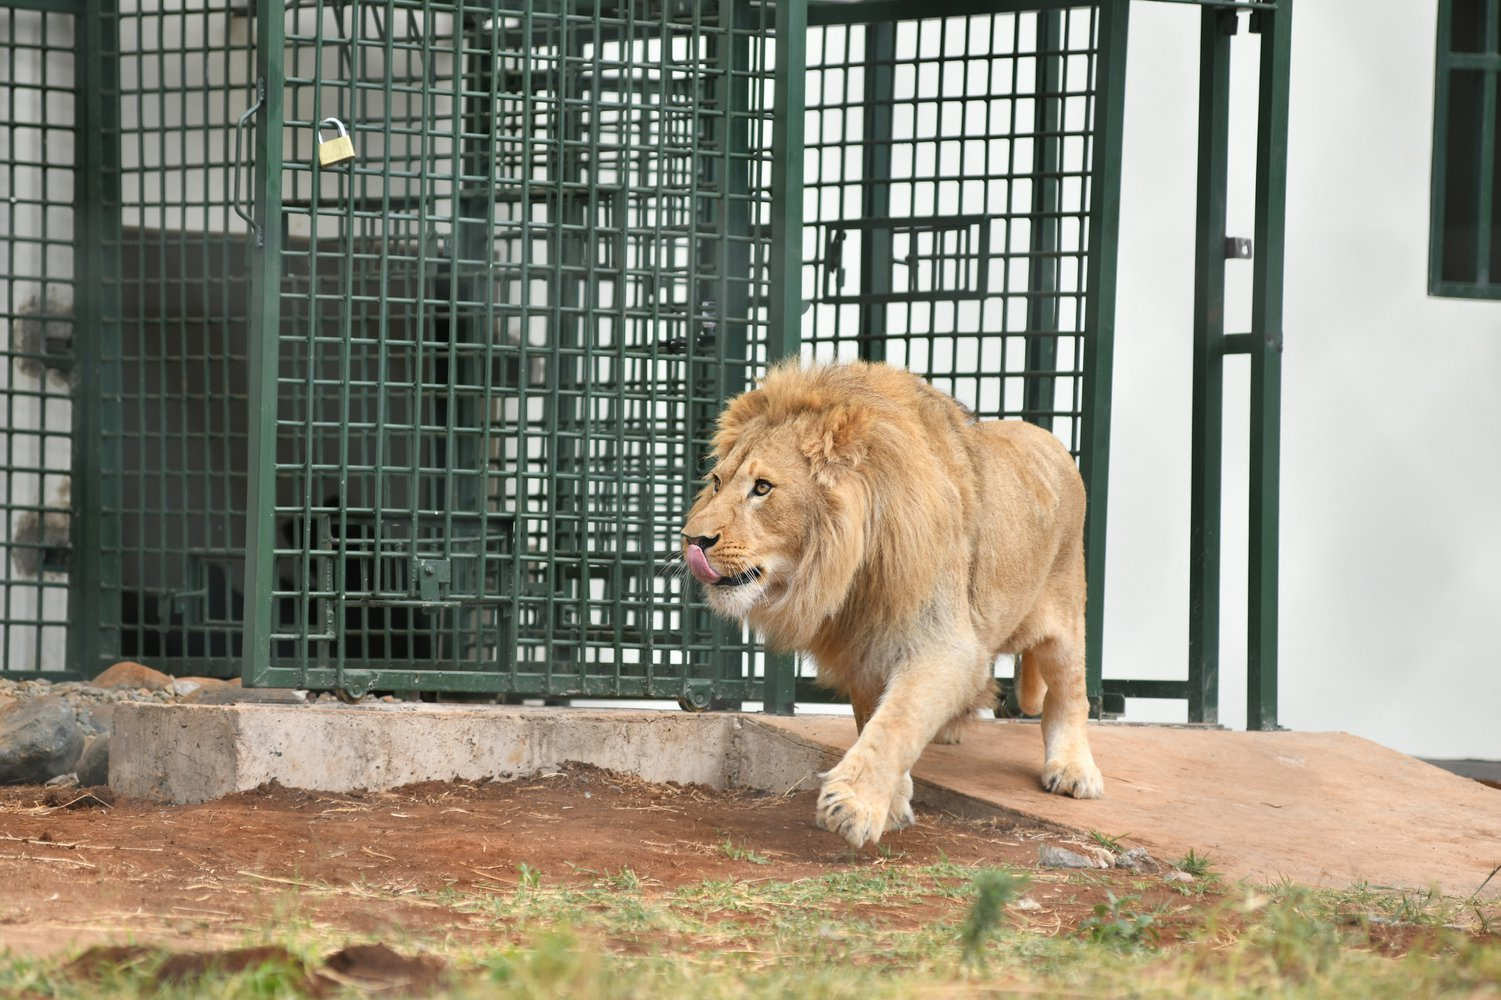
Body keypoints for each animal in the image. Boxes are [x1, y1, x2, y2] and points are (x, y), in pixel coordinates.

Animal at [681, 355, 1104, 840]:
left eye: (763, 488)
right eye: (717, 481)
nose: (691, 540)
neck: (852, 575)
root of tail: (1048, 437)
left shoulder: (944, 641)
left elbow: (899, 719)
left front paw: (854, 804)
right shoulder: (864, 649)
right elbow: (875, 719)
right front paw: (894, 803)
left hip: (1065, 611)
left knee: (1069, 692)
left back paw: (1073, 770)